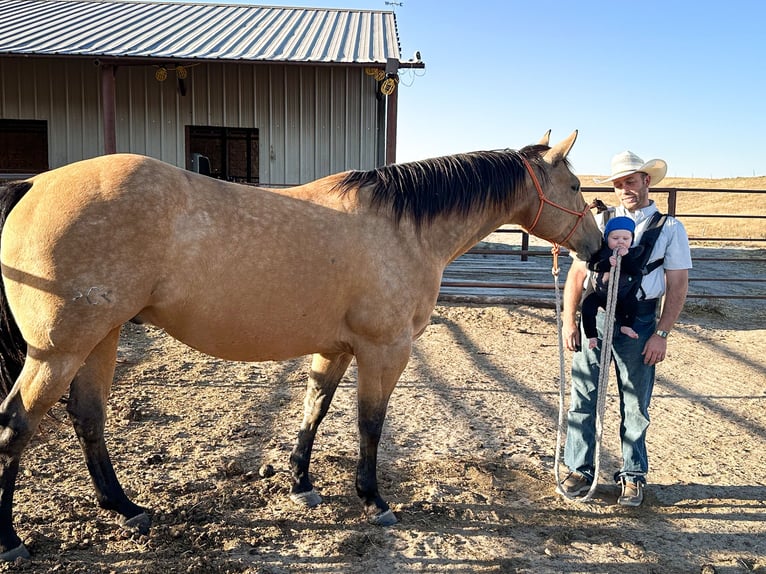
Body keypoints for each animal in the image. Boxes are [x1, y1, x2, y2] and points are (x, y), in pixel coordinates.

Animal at [0, 132, 600, 564]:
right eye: (575, 187)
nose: (597, 249)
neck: (404, 228)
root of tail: (33, 184)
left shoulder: (335, 348)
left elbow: (315, 409)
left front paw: (301, 484)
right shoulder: (385, 350)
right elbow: (369, 424)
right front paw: (373, 500)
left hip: (99, 338)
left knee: (88, 417)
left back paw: (126, 508)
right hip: (58, 350)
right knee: (18, 424)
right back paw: (12, 540)